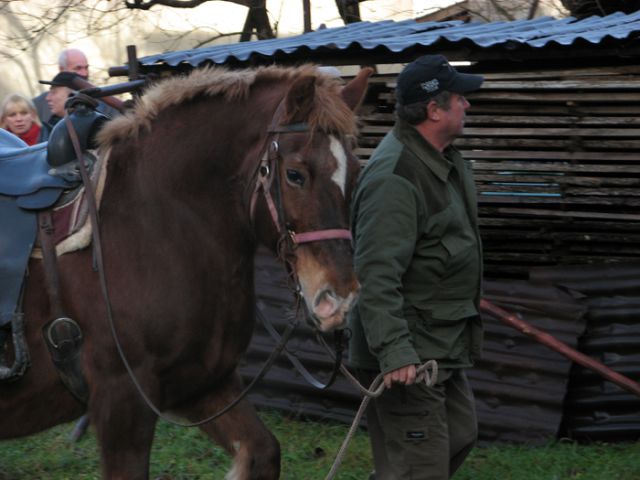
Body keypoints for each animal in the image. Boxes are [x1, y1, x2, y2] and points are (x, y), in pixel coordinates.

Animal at [0, 64, 370, 480]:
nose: (339, 296)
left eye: (356, 171)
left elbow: (263, 452)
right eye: (294, 174)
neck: (156, 223)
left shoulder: (205, 384)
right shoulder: (122, 399)